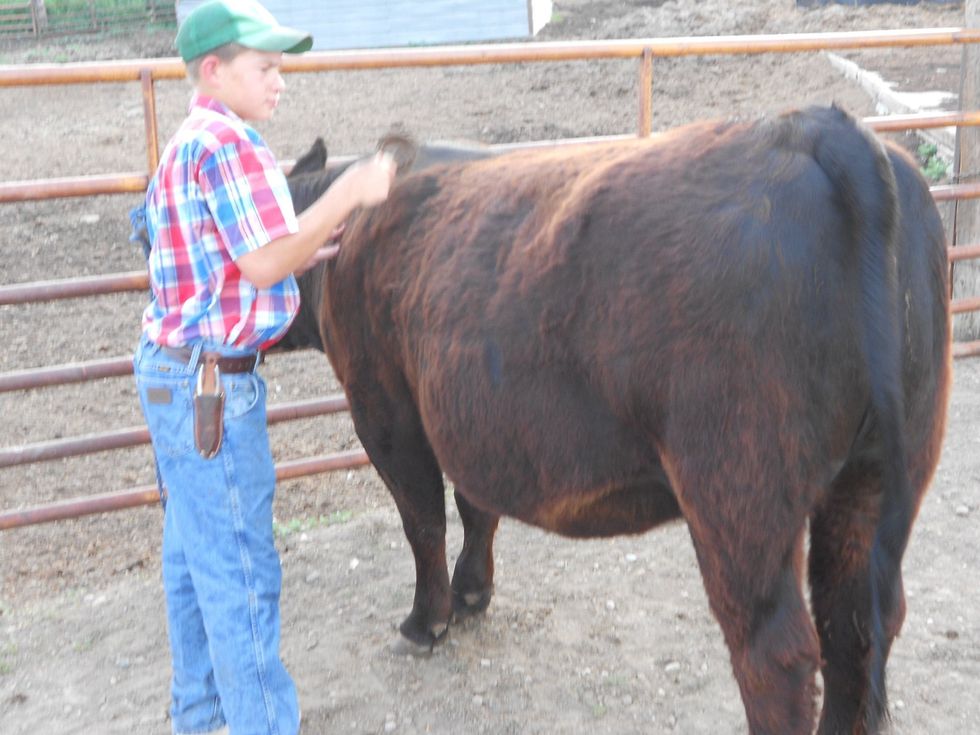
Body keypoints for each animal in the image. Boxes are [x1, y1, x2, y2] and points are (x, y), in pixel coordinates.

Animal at [284, 106, 951, 735]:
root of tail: (813, 126)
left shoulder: (382, 404)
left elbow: (423, 520)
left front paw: (428, 620)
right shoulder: (473, 421)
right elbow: (478, 508)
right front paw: (473, 592)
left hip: (739, 490)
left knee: (776, 655)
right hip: (876, 474)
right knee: (855, 626)